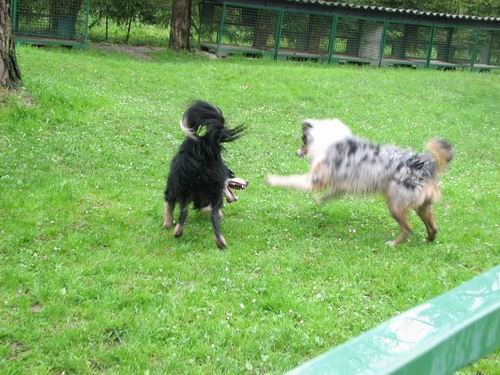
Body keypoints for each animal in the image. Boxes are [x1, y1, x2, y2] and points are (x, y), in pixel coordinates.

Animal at [164, 103, 244, 250]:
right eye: (232, 174)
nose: (247, 182)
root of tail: (204, 145)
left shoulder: (174, 187)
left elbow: (169, 205)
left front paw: (167, 224)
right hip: (209, 190)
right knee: (213, 217)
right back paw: (220, 242)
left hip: (186, 187)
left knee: (185, 211)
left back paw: (178, 231)